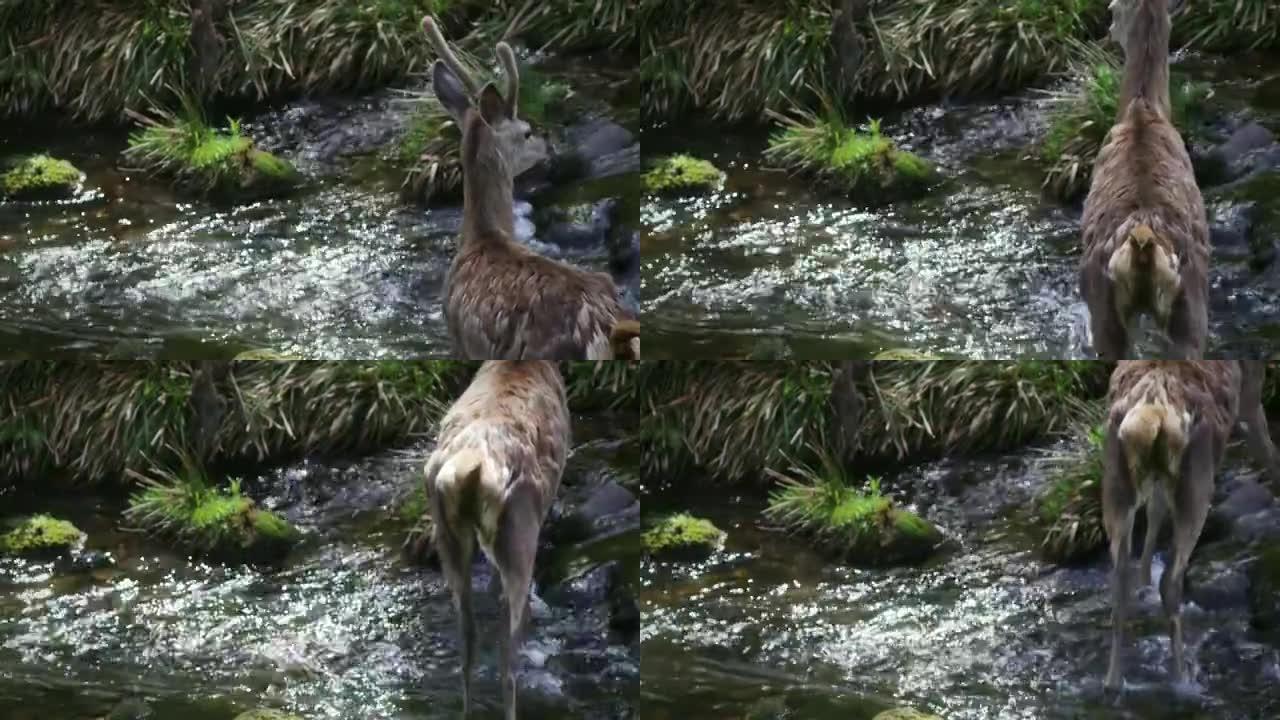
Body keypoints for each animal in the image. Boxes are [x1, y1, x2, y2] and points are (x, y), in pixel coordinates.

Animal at [1080, 0, 1208, 358]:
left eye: (1111, 9)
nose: (1104, 36)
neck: (1142, 110)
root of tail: (1143, 245)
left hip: (1106, 311)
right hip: (1188, 313)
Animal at [1100, 358, 1280, 691]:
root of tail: (1151, 413)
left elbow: (1155, 511)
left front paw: (1144, 576)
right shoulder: (1250, 396)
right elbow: (1271, 455)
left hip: (1117, 480)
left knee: (1119, 579)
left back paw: (1113, 681)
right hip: (1196, 480)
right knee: (1171, 581)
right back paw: (1183, 678)